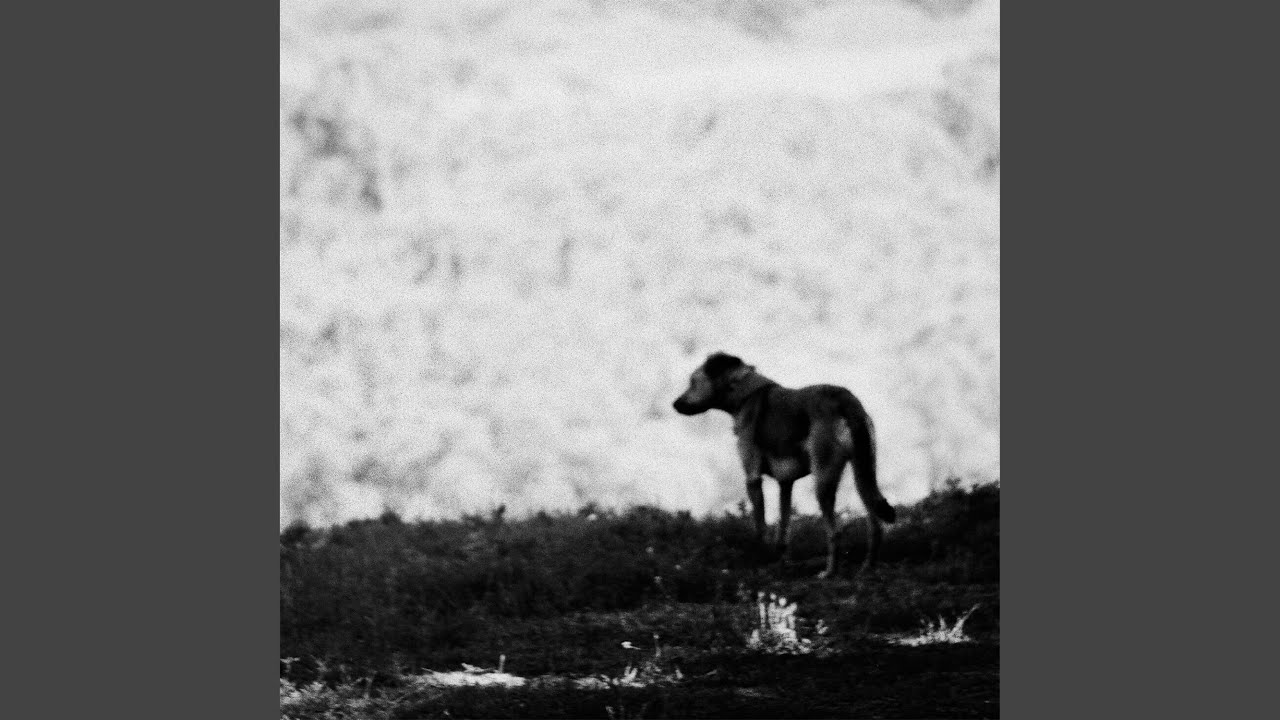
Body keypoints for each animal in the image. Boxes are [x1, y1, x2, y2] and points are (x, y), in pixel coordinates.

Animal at [673, 352, 895, 577]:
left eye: (693, 381)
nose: (675, 404)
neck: (747, 393)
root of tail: (845, 399)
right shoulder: (786, 483)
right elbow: (783, 529)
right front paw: (781, 563)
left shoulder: (753, 478)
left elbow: (760, 526)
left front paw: (761, 558)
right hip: (863, 474)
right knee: (875, 525)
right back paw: (867, 567)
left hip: (824, 480)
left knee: (836, 532)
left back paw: (829, 572)